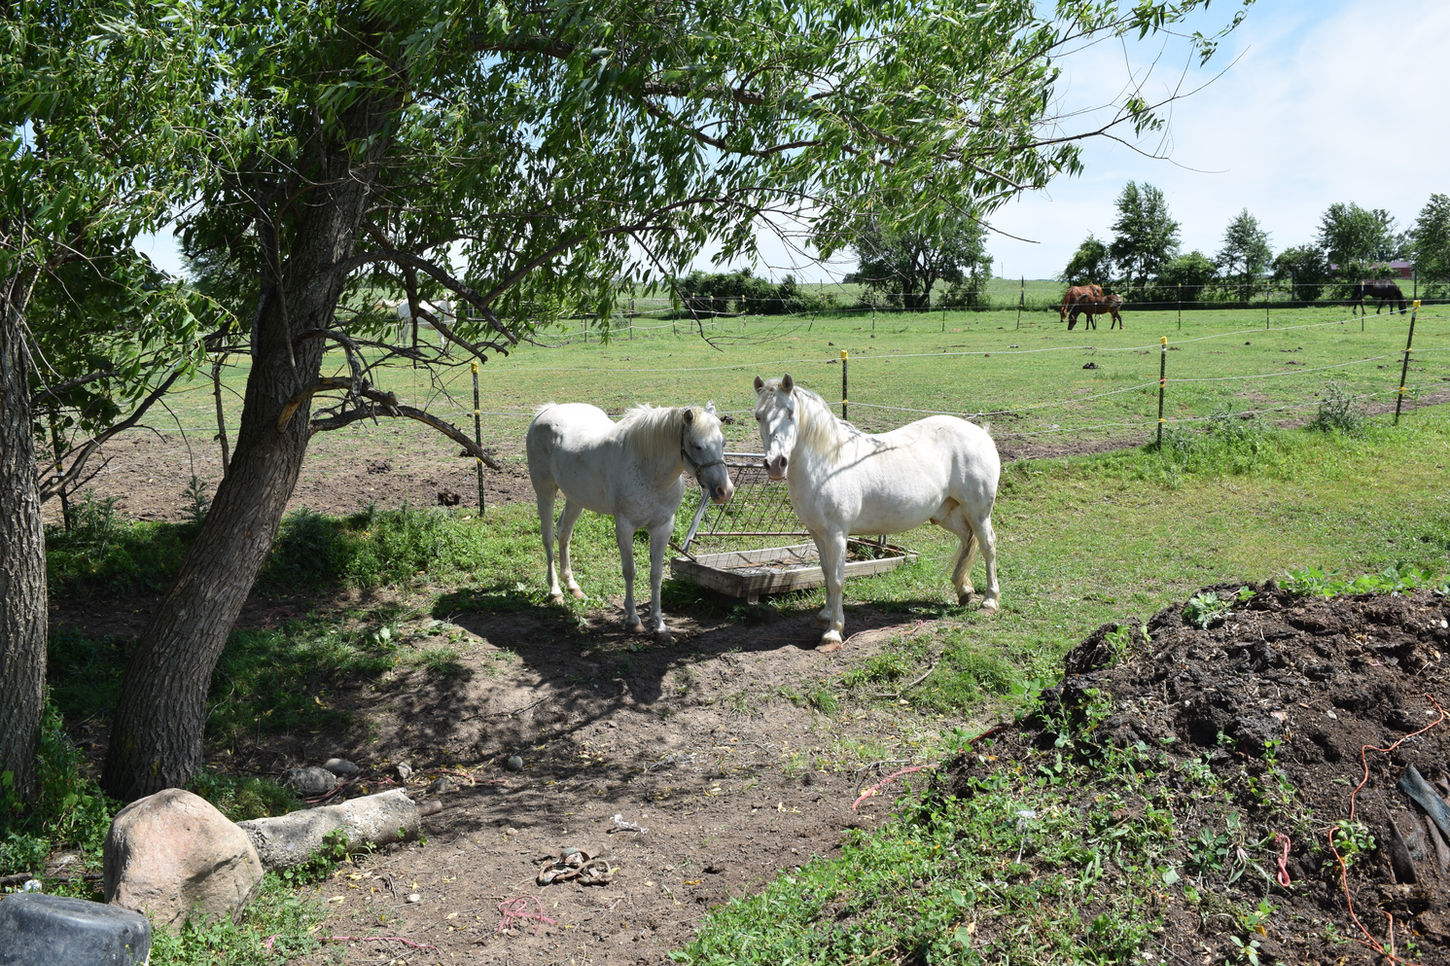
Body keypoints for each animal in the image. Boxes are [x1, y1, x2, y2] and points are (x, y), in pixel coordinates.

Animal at [526, 402, 734, 642]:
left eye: (723, 442)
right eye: (697, 446)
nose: (725, 491)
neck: (649, 471)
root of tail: (547, 410)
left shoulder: (663, 527)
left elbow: (656, 574)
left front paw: (660, 626)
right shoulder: (625, 526)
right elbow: (629, 571)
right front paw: (633, 620)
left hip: (575, 498)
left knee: (564, 533)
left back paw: (573, 586)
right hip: (545, 491)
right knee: (549, 537)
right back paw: (555, 591)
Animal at [752, 374, 1000, 651]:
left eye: (790, 413)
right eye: (758, 416)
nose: (776, 464)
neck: (828, 463)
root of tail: (981, 434)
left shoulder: (837, 534)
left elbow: (837, 579)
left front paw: (833, 632)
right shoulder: (817, 532)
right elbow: (826, 572)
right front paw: (826, 614)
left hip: (978, 511)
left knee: (988, 546)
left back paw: (989, 601)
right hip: (946, 513)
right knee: (967, 538)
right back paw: (964, 591)